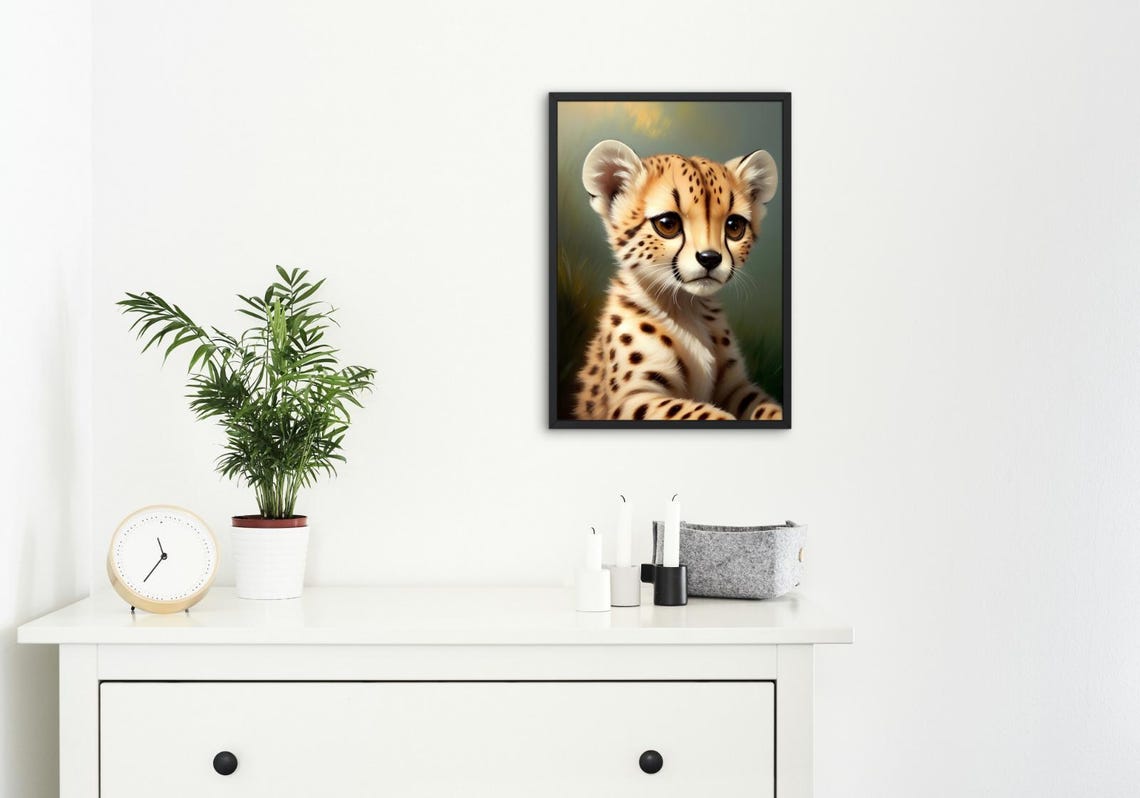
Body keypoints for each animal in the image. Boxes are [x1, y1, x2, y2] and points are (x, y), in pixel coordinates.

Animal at [571, 138, 783, 422]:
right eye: (667, 224)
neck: (685, 306)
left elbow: (765, 406)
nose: (710, 258)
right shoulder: (631, 398)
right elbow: (698, 412)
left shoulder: (736, 387)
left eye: (734, 226)